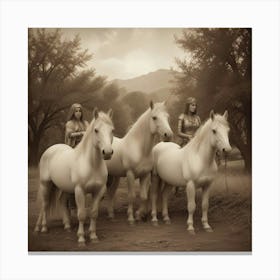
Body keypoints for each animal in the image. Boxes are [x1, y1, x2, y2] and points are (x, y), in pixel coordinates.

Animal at [34, 108, 114, 244]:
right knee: (45, 205)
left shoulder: (99, 191)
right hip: (46, 184)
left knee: (61, 202)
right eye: (96, 130)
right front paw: (81, 238)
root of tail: (50, 150)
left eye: (112, 130)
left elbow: (93, 213)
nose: (107, 152)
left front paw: (93, 236)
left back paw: (67, 226)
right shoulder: (79, 190)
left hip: (64, 187)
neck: (92, 165)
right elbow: (81, 214)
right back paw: (43, 228)